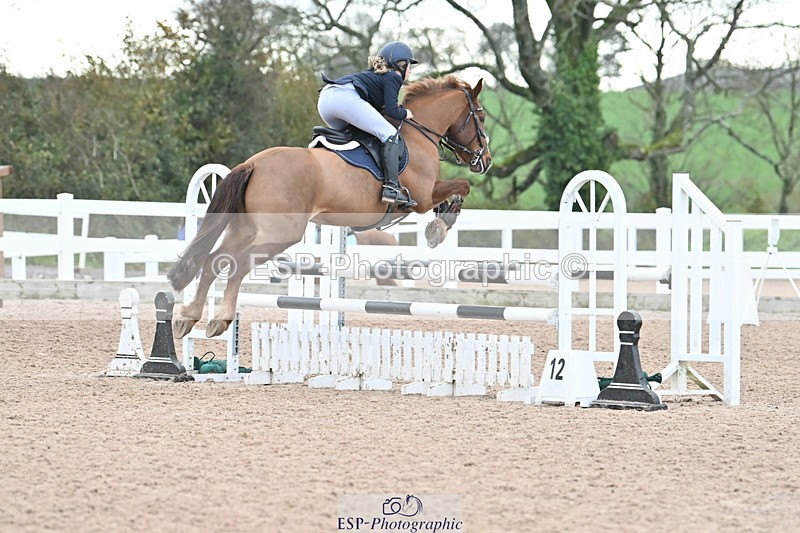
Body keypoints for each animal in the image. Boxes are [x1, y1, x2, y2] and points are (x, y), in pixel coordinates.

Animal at [168, 75, 492, 338]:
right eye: (482, 116)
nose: (485, 160)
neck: (418, 133)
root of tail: (253, 164)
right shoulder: (423, 197)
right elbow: (462, 186)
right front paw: (439, 228)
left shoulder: (425, 196)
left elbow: (455, 191)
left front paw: (437, 227)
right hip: (278, 235)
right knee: (235, 265)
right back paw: (220, 320)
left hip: (245, 230)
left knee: (214, 261)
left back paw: (189, 318)